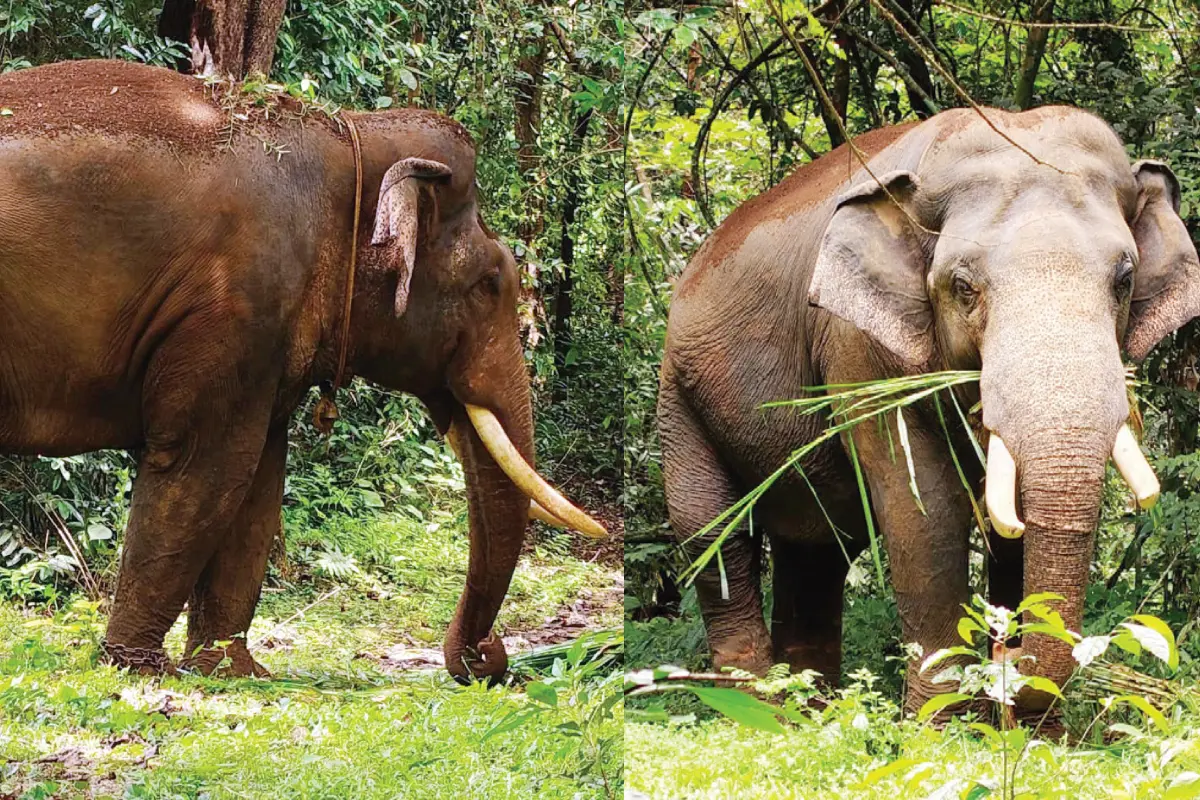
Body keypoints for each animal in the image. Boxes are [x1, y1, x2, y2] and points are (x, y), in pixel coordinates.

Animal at [0, 60, 605, 681]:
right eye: (489, 285)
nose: (488, 657)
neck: (347, 136)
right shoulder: (239, 305)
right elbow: (205, 466)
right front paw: (140, 669)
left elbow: (259, 480)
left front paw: (232, 671)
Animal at [658, 105, 1200, 716]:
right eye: (963, 286)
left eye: (1125, 279)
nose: (1008, 655)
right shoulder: (854, 344)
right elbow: (923, 508)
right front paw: (941, 722)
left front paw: (1033, 727)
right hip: (678, 397)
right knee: (714, 538)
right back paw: (752, 707)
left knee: (815, 551)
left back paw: (805, 710)